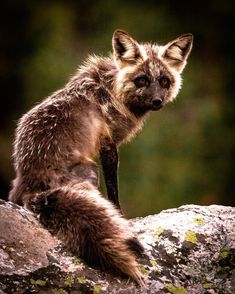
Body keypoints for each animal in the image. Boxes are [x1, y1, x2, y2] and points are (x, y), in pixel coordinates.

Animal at [8, 30, 193, 284]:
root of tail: (30, 182)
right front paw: (122, 217)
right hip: (90, 171)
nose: (157, 101)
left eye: (165, 81)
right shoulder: (108, 145)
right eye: (142, 80)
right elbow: (114, 192)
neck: (113, 92)